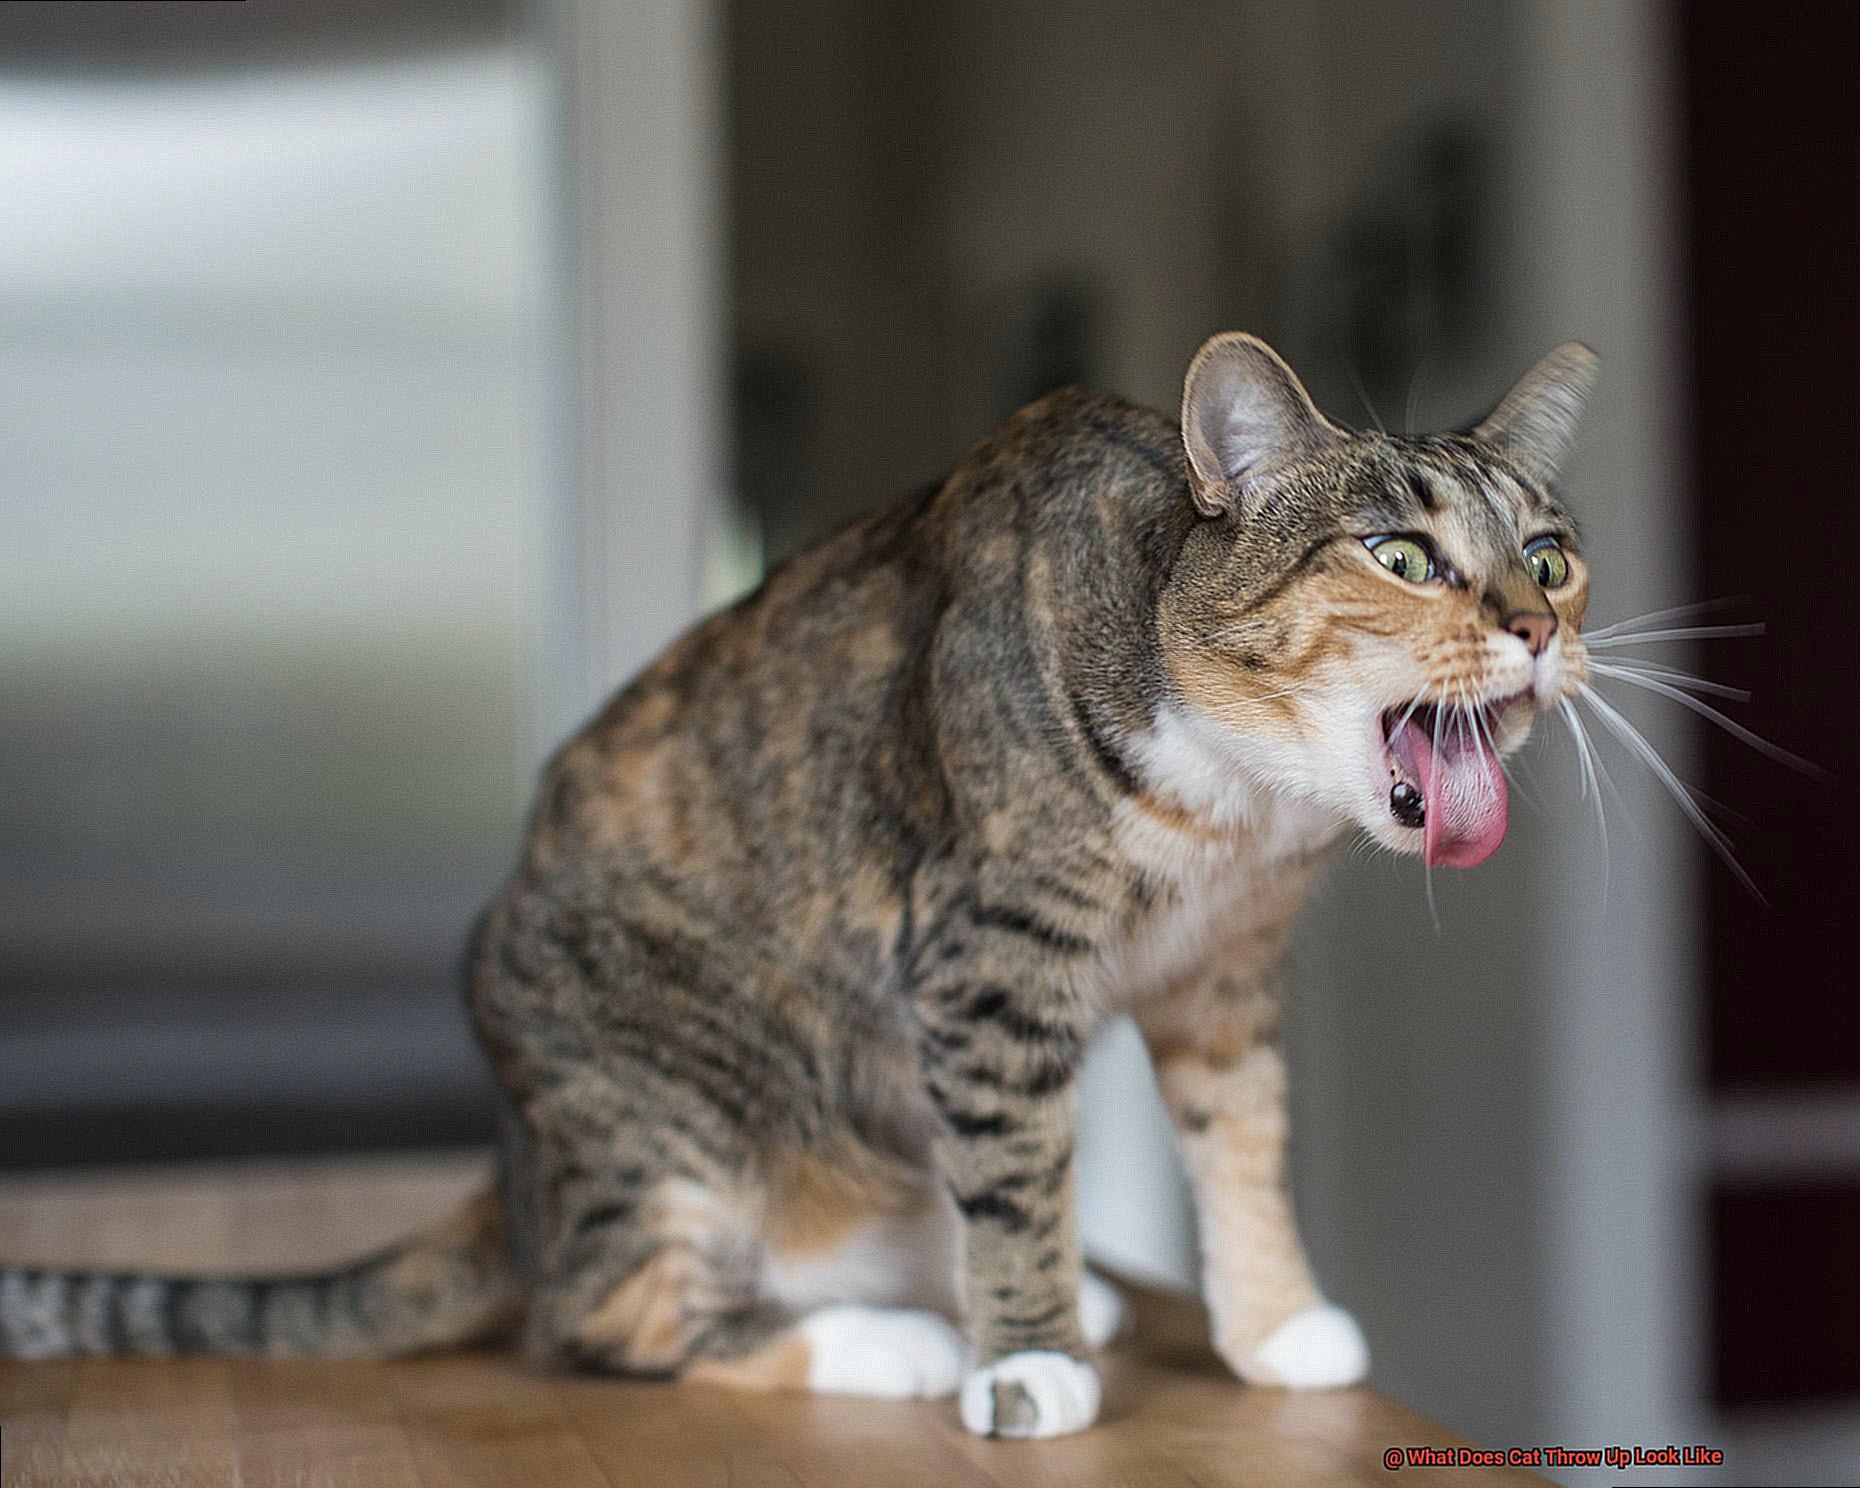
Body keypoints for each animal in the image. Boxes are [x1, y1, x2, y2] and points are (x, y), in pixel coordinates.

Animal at [0, 334, 1599, 1443]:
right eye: (1399, 556)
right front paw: (1028, 1361)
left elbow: (1241, 1142)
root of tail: (518, 1173)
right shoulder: (987, 951)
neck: (1243, 820)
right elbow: (1019, 1155)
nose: (1535, 630)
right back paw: (906, 1342)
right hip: (671, 1102)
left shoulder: (1226, 975)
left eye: (1551, 555)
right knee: (603, 1315)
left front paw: (1276, 1330)